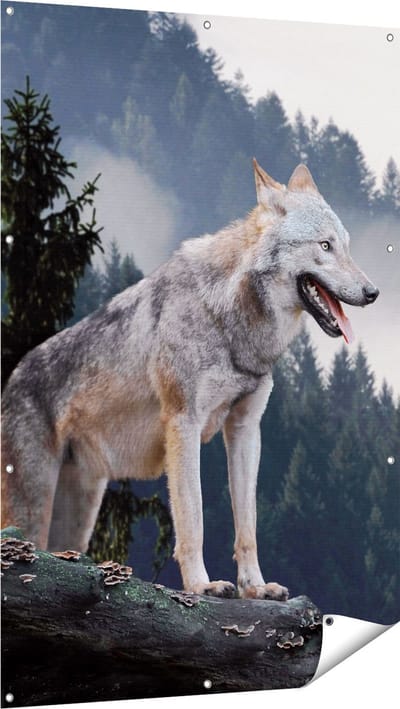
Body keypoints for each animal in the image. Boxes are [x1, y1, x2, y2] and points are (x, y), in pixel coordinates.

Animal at [1, 160, 379, 599]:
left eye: (346, 246)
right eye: (324, 246)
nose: (373, 292)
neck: (231, 320)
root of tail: (12, 377)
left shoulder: (246, 429)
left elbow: (247, 526)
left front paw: (255, 588)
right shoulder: (183, 424)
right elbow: (193, 518)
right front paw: (202, 585)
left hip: (78, 517)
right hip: (33, 509)